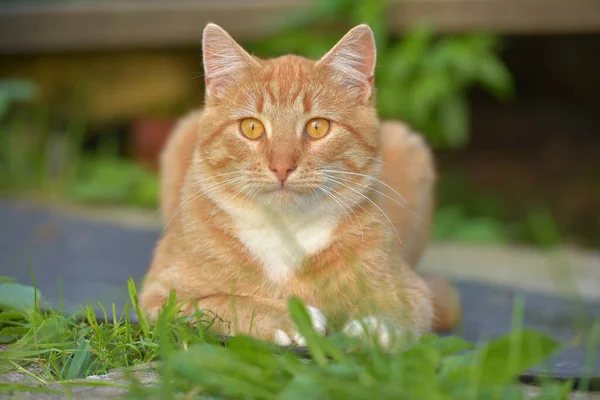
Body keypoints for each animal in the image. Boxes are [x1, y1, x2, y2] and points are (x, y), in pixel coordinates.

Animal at [139, 23, 460, 346]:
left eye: (317, 127)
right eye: (251, 127)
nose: (282, 166)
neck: (285, 231)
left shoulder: (412, 290)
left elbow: (394, 306)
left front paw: (374, 326)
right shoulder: (158, 297)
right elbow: (220, 302)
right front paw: (285, 317)